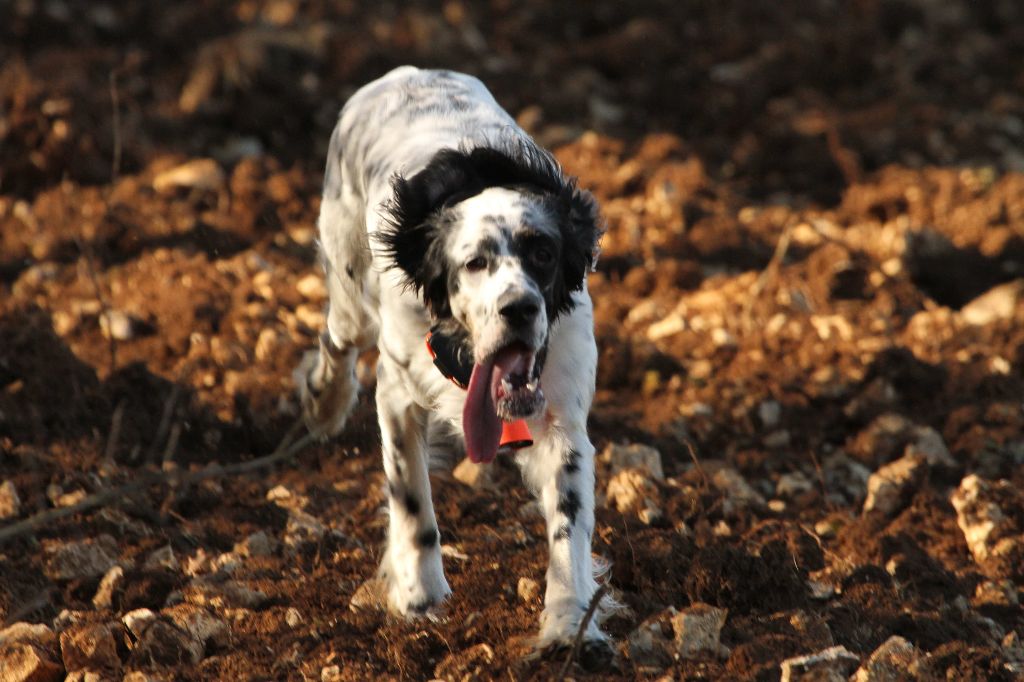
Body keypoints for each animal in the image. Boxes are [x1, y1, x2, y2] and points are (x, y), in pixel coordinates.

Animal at [296, 66, 614, 659]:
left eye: (544, 253)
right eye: (475, 263)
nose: (519, 308)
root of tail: (408, 72)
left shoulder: (563, 423)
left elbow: (568, 527)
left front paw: (567, 623)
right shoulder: (398, 397)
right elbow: (412, 503)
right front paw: (419, 595)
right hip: (350, 287)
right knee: (338, 340)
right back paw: (323, 403)